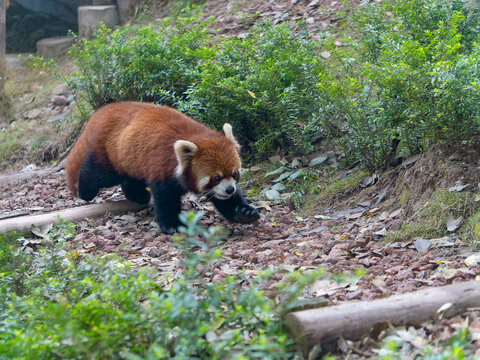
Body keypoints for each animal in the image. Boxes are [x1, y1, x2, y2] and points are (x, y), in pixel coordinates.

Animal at [64, 101, 258, 233]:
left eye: (234, 174)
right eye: (216, 177)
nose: (230, 189)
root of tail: (103, 111)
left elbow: (226, 202)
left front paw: (243, 212)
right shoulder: (162, 167)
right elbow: (165, 198)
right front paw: (172, 225)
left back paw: (137, 195)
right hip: (111, 154)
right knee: (98, 173)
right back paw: (84, 191)